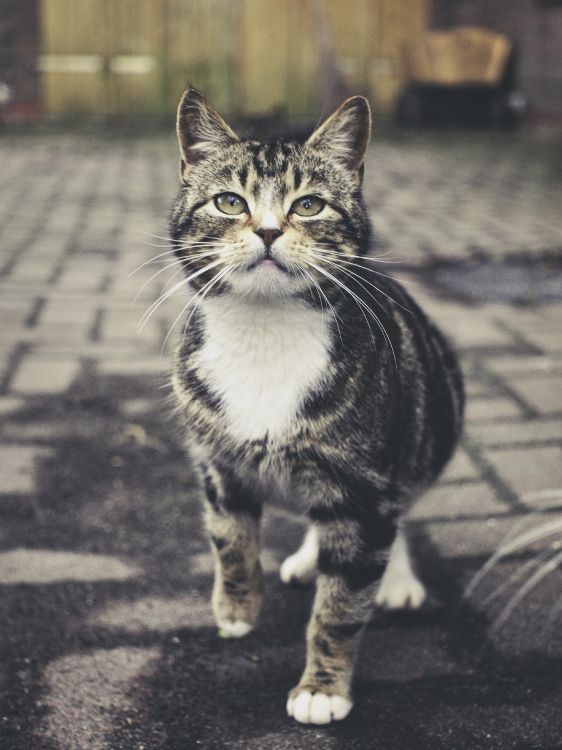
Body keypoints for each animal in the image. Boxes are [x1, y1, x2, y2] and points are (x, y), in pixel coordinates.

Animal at [167, 88, 464, 728]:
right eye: (229, 202)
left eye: (308, 205)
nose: (268, 231)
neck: (264, 328)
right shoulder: (214, 458)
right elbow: (228, 538)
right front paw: (236, 607)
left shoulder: (364, 485)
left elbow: (343, 605)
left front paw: (322, 688)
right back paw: (307, 557)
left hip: (428, 427)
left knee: (398, 510)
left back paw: (395, 577)